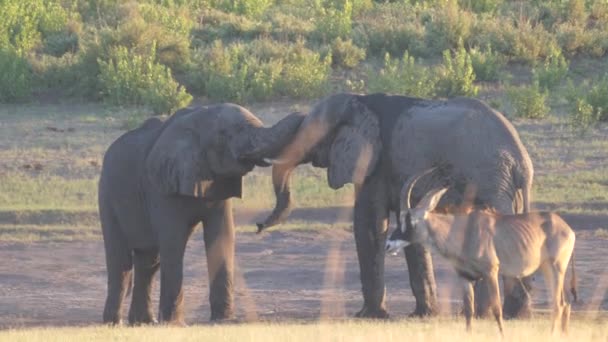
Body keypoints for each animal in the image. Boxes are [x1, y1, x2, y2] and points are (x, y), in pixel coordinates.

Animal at [98, 104, 304, 326]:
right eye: (227, 134)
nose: (259, 226)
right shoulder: (161, 186)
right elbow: (173, 241)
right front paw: (174, 324)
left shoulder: (218, 182)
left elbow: (222, 235)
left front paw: (223, 320)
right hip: (107, 195)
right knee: (121, 262)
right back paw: (114, 323)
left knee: (148, 262)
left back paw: (144, 322)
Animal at [254, 93, 536, 318]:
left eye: (309, 136)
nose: (258, 225)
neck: (357, 101)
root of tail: (521, 163)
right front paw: (423, 315)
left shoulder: (376, 165)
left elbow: (368, 224)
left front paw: (369, 316)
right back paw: (500, 313)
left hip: (487, 182)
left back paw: (498, 314)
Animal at [388, 170, 576, 336]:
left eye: (410, 220)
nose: (389, 244)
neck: (462, 230)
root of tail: (568, 228)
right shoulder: (465, 277)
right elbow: (469, 311)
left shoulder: (491, 272)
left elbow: (496, 309)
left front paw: (502, 335)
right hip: (547, 269)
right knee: (565, 303)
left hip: (556, 268)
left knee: (558, 304)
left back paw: (552, 334)